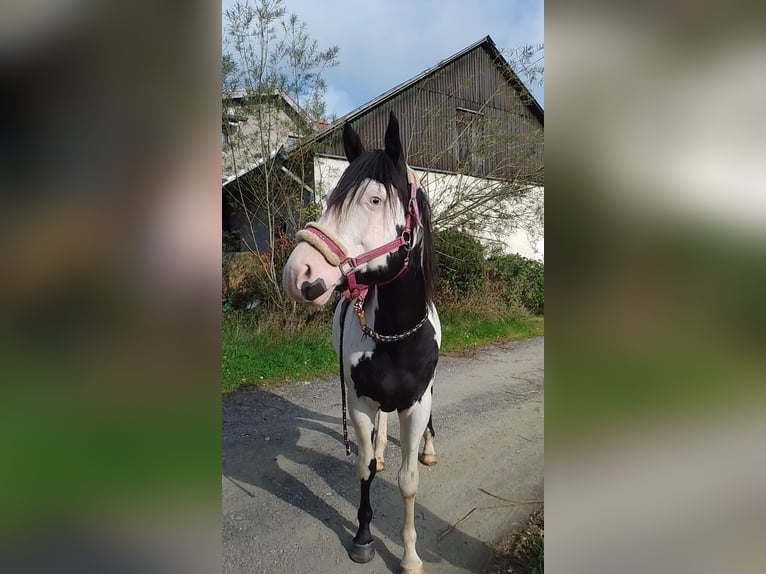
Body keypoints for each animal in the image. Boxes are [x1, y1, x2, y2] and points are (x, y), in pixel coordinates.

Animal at [283, 111, 440, 574]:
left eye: (373, 201)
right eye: (331, 197)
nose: (298, 272)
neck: (395, 334)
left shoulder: (416, 402)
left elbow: (408, 482)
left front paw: (409, 556)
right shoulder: (358, 402)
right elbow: (365, 469)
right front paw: (363, 538)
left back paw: (428, 450)